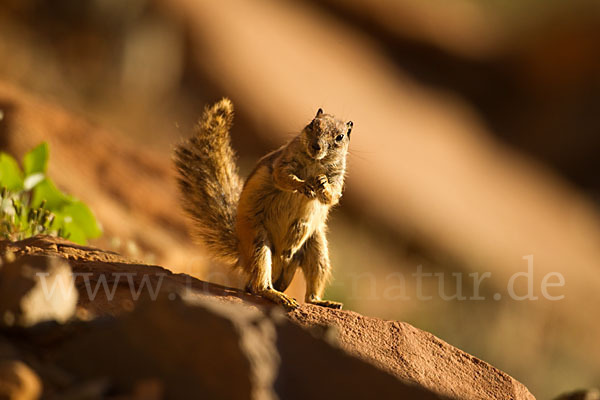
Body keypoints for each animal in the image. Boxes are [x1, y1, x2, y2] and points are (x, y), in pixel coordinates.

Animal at [173, 98, 352, 310]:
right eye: (311, 124)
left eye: (340, 137)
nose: (316, 146)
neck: (316, 163)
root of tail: (242, 253)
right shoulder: (283, 162)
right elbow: (283, 177)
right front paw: (303, 184)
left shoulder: (337, 178)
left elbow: (333, 196)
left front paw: (322, 183)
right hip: (258, 241)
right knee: (258, 285)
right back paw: (278, 296)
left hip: (317, 249)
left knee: (311, 289)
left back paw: (323, 301)